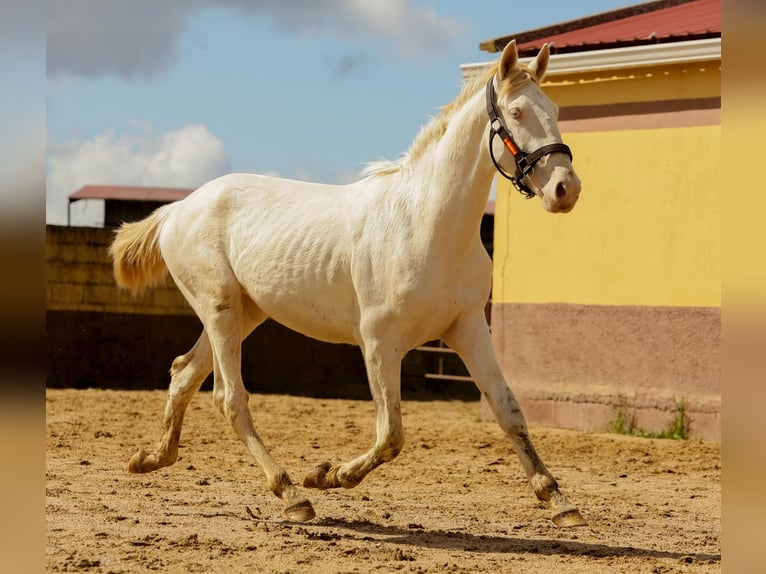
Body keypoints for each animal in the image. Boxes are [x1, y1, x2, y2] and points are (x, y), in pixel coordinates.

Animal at [109, 39, 588, 528]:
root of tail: (178, 209)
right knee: (229, 398)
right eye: (516, 112)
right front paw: (326, 475)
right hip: (219, 308)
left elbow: (509, 411)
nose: (566, 189)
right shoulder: (379, 342)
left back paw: (150, 459)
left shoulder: (468, 328)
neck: (426, 224)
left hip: (244, 313)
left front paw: (559, 502)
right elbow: (390, 434)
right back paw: (292, 495)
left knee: (183, 372)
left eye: (554, 109)